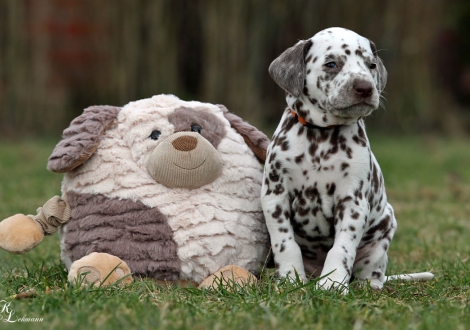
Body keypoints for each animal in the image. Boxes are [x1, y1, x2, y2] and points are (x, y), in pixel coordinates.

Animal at [260, 28, 434, 292]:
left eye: (371, 65)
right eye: (332, 64)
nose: (365, 88)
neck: (321, 137)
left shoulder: (352, 202)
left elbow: (341, 247)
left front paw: (332, 282)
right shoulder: (275, 196)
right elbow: (286, 243)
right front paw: (291, 278)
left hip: (384, 230)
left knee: (372, 270)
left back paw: (367, 285)